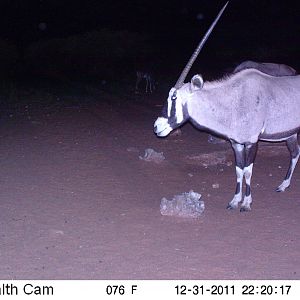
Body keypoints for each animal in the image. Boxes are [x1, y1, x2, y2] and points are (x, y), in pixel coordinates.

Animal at [154, 1, 300, 211]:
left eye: (174, 98)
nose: (157, 126)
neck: (234, 100)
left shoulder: (252, 141)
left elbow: (248, 171)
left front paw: (246, 203)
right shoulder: (236, 143)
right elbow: (238, 170)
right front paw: (234, 200)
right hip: (290, 134)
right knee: (295, 153)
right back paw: (283, 185)